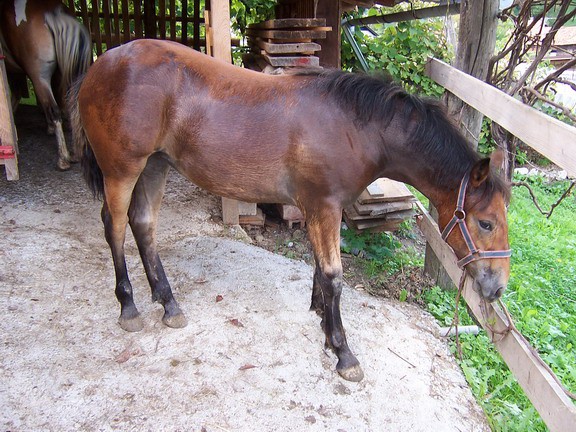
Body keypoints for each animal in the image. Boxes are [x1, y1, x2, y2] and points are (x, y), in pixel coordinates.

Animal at [0, 0, 90, 170]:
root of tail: (53, 13)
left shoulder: (15, 71)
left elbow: (14, 96)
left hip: (39, 75)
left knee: (54, 109)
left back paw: (63, 159)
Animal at [68, 38, 512, 382]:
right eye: (486, 222)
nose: (496, 288)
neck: (355, 128)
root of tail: (101, 65)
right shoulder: (323, 207)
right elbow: (333, 276)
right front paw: (343, 352)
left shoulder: (320, 210)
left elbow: (320, 270)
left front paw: (323, 324)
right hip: (122, 171)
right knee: (115, 227)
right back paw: (129, 306)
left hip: (155, 165)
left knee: (143, 225)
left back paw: (168, 303)